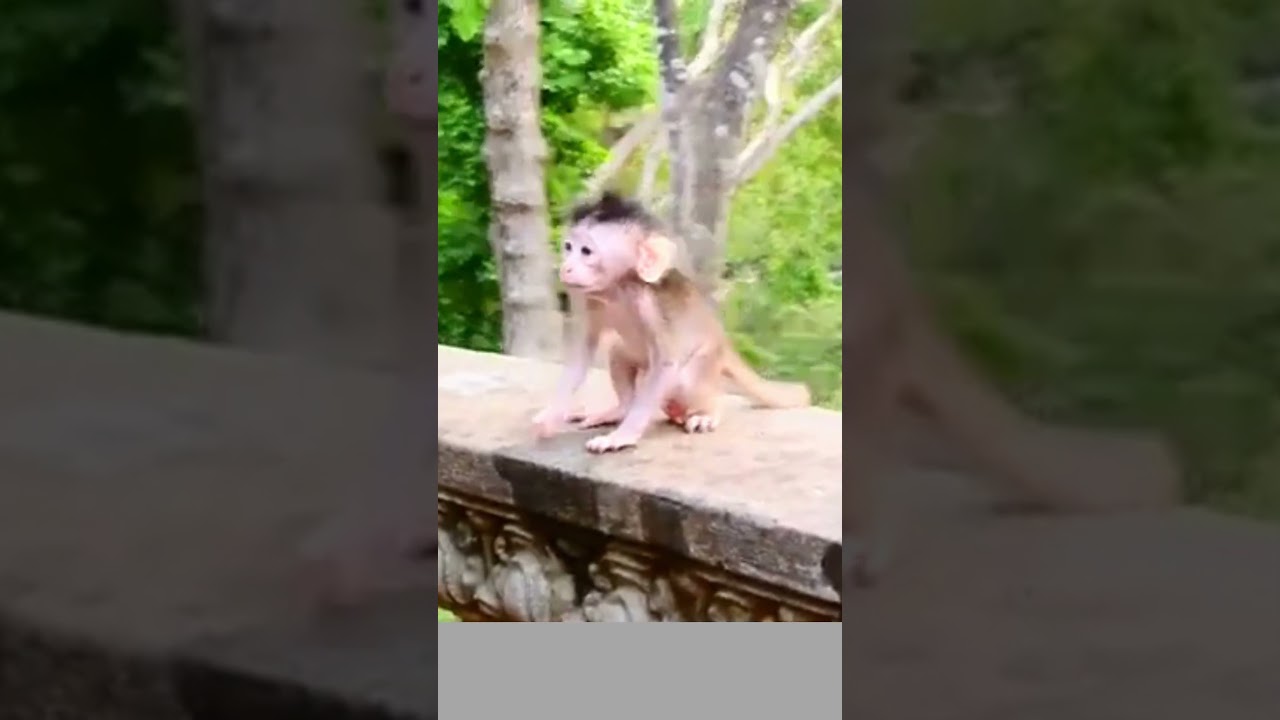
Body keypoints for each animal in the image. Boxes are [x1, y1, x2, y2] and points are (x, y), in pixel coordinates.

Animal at [532, 192, 810, 453]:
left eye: (586, 251)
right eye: (568, 247)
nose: (566, 267)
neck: (620, 289)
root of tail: (720, 337)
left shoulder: (651, 307)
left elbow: (667, 364)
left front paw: (622, 436)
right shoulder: (591, 301)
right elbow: (582, 353)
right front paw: (550, 417)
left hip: (708, 360)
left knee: (684, 380)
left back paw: (707, 411)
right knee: (619, 353)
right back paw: (621, 409)